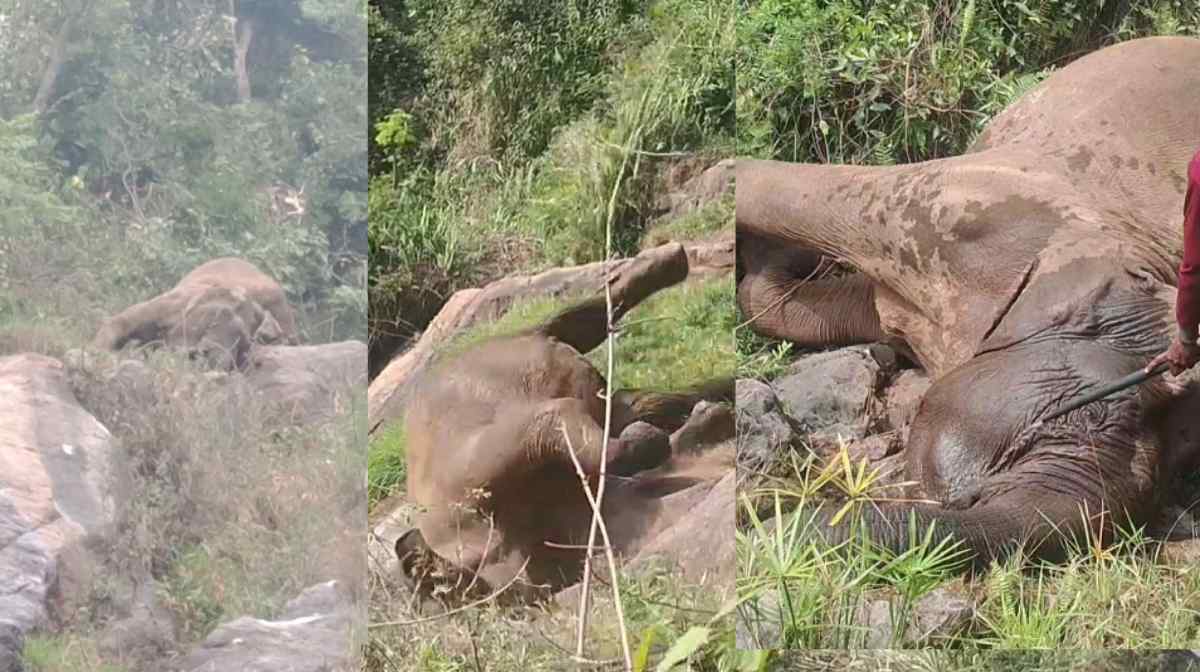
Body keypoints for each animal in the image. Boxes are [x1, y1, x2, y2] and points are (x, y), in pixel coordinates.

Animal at [395, 242, 734, 603]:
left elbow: (554, 420)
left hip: (503, 348)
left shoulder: (467, 486)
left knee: (577, 323)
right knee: (630, 392)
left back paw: (670, 260)